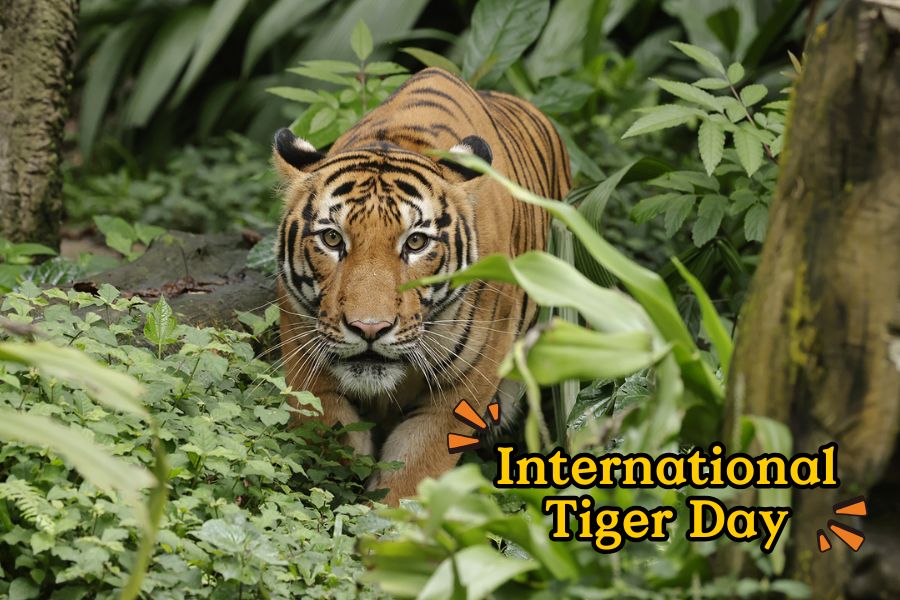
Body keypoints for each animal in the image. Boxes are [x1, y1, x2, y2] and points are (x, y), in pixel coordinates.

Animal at [273, 67, 570, 506]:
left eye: (415, 243)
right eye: (332, 239)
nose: (369, 329)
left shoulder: (461, 388)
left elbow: (413, 473)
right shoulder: (306, 358)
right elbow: (330, 438)